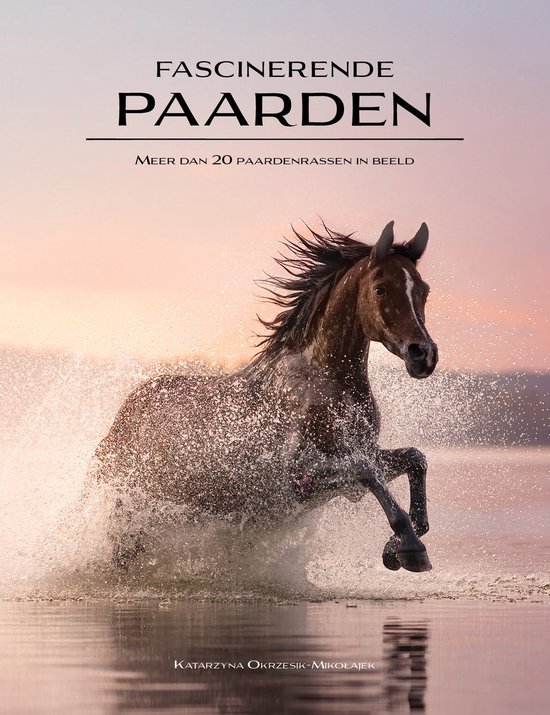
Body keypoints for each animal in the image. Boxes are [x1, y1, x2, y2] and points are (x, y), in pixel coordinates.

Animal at [92, 220, 438, 573]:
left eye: (423, 290)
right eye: (381, 288)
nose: (423, 354)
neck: (325, 386)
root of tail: (123, 416)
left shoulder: (359, 461)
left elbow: (415, 459)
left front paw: (397, 546)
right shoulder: (298, 476)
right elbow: (367, 472)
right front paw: (410, 548)